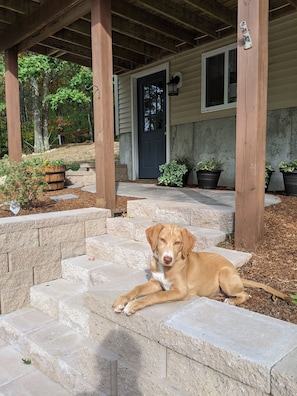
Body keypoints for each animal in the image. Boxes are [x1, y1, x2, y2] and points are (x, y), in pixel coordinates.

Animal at [111, 224, 290, 314]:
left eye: (178, 243)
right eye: (161, 239)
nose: (167, 258)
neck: (165, 267)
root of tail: (235, 271)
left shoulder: (180, 291)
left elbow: (154, 296)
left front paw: (133, 305)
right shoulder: (156, 282)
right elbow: (137, 288)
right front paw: (122, 300)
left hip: (225, 276)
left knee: (246, 294)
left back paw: (231, 301)